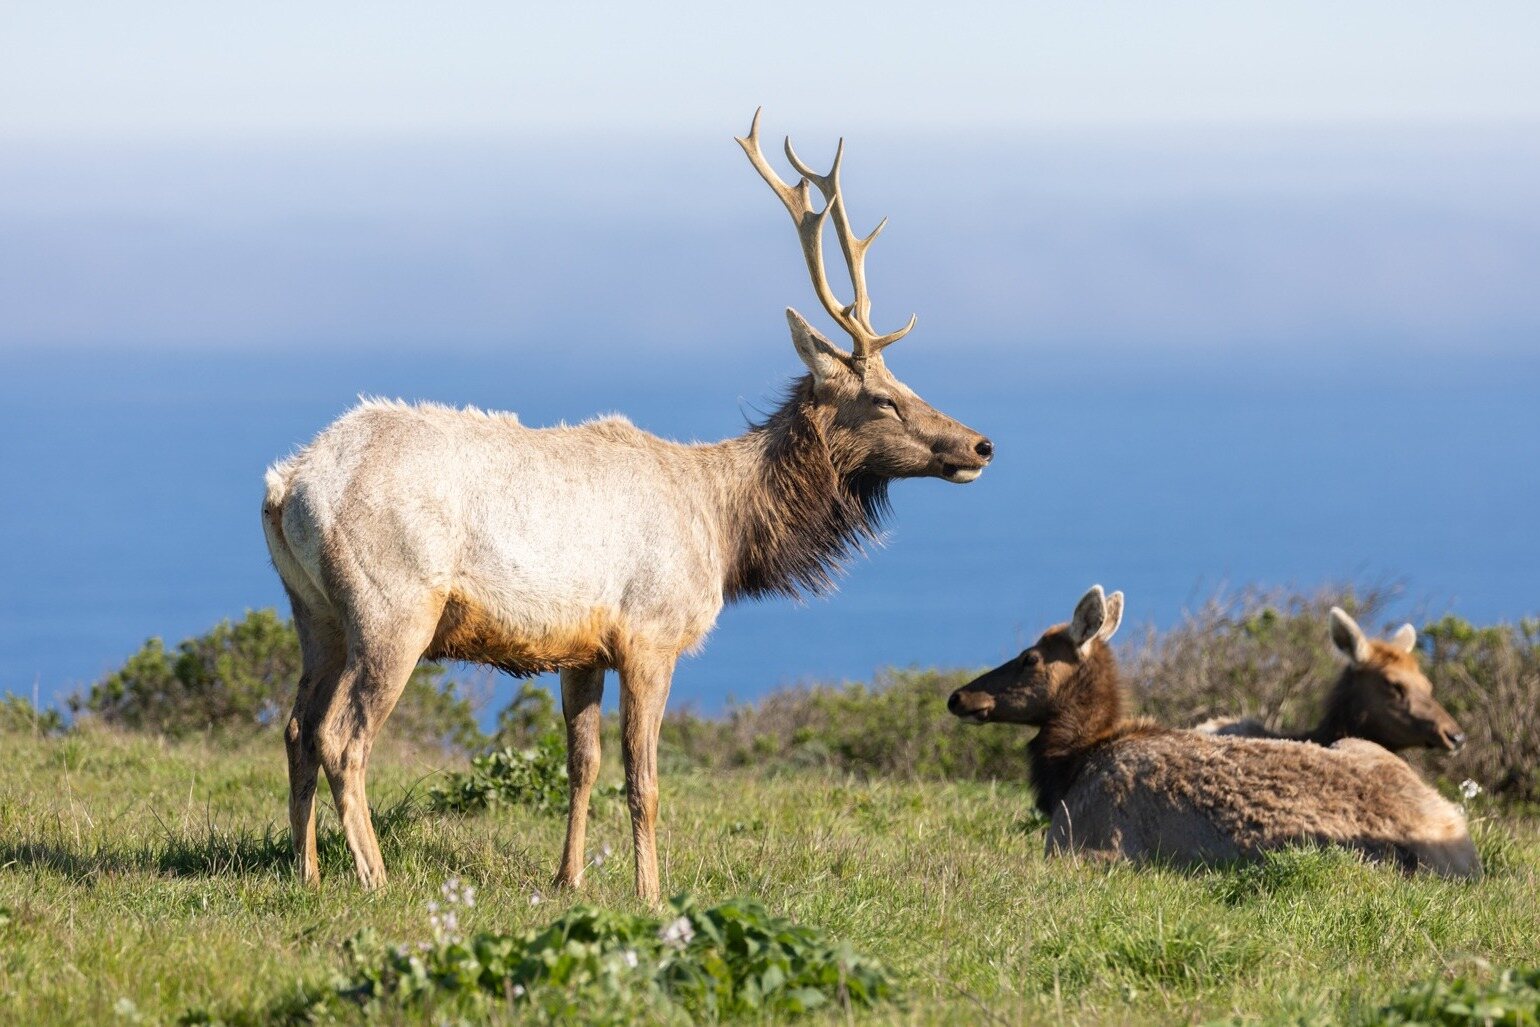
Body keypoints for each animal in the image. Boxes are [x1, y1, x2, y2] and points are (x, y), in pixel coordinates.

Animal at [260, 110, 993, 903]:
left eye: (909, 384)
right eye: (884, 398)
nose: (980, 444)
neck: (725, 531)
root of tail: (286, 485)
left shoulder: (580, 646)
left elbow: (583, 765)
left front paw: (570, 877)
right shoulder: (651, 633)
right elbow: (644, 781)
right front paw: (651, 892)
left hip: (314, 610)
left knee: (297, 727)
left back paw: (305, 869)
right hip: (391, 606)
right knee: (342, 736)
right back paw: (374, 877)